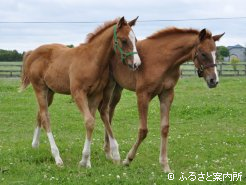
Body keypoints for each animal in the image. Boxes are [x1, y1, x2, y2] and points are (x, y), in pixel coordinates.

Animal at [19, 16, 140, 167]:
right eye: (124, 40)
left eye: (135, 40)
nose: (137, 64)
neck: (92, 61)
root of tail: (32, 53)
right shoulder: (78, 93)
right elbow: (89, 122)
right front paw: (84, 159)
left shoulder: (95, 95)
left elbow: (92, 121)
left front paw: (87, 161)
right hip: (39, 88)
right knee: (46, 117)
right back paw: (57, 157)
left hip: (50, 91)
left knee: (40, 113)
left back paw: (35, 145)